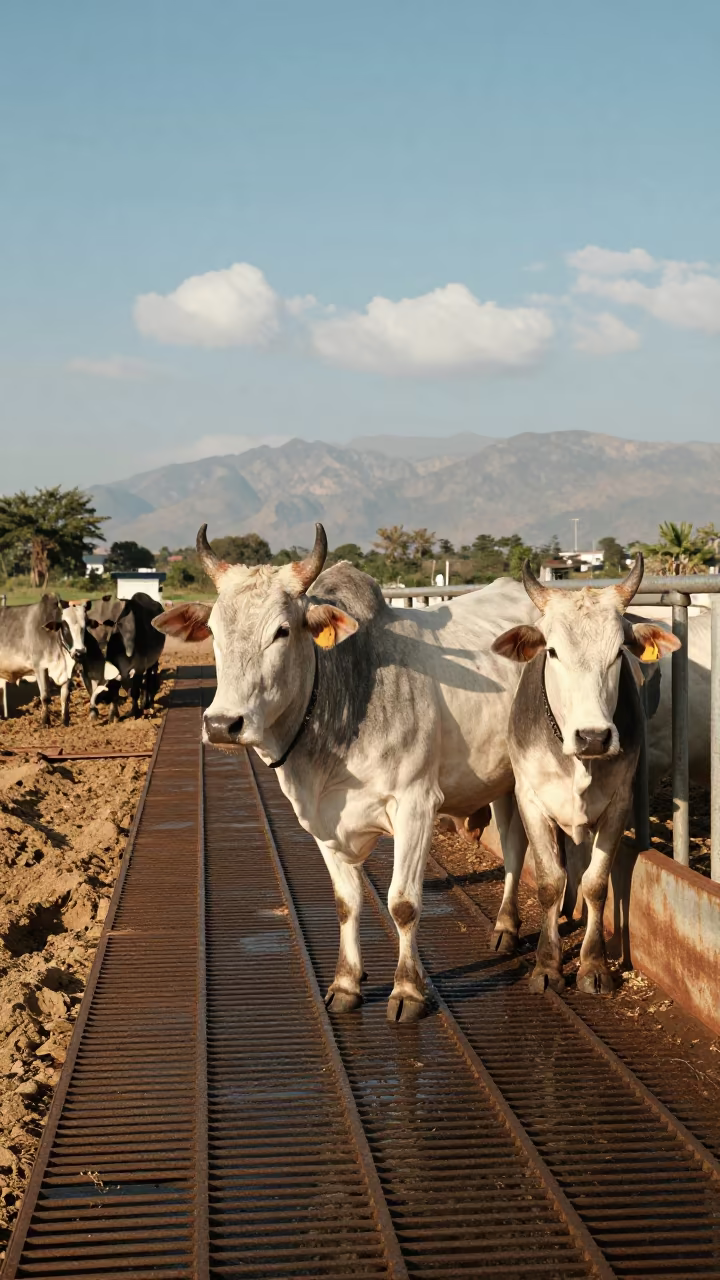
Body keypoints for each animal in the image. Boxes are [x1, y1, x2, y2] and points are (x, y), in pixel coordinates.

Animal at [0, 595, 87, 725]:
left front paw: (65, 721)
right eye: (65, 627)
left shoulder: (68, 671)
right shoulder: (40, 668)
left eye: (84, 627)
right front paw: (45, 721)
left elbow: (65, 696)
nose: (80, 652)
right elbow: (45, 697)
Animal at [154, 523, 539, 1022]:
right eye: (214, 632)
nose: (222, 724)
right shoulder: (320, 819)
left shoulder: (416, 806)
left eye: (282, 631)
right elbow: (346, 903)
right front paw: (346, 983)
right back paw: (507, 927)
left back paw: (508, 927)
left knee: (515, 848)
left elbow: (403, 904)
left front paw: (407, 991)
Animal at [491, 557, 680, 996]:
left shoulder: (618, 803)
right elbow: (547, 880)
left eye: (619, 652)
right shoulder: (532, 799)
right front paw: (547, 964)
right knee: (515, 851)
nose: (593, 736)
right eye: (553, 651)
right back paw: (508, 924)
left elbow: (596, 882)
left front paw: (593, 965)